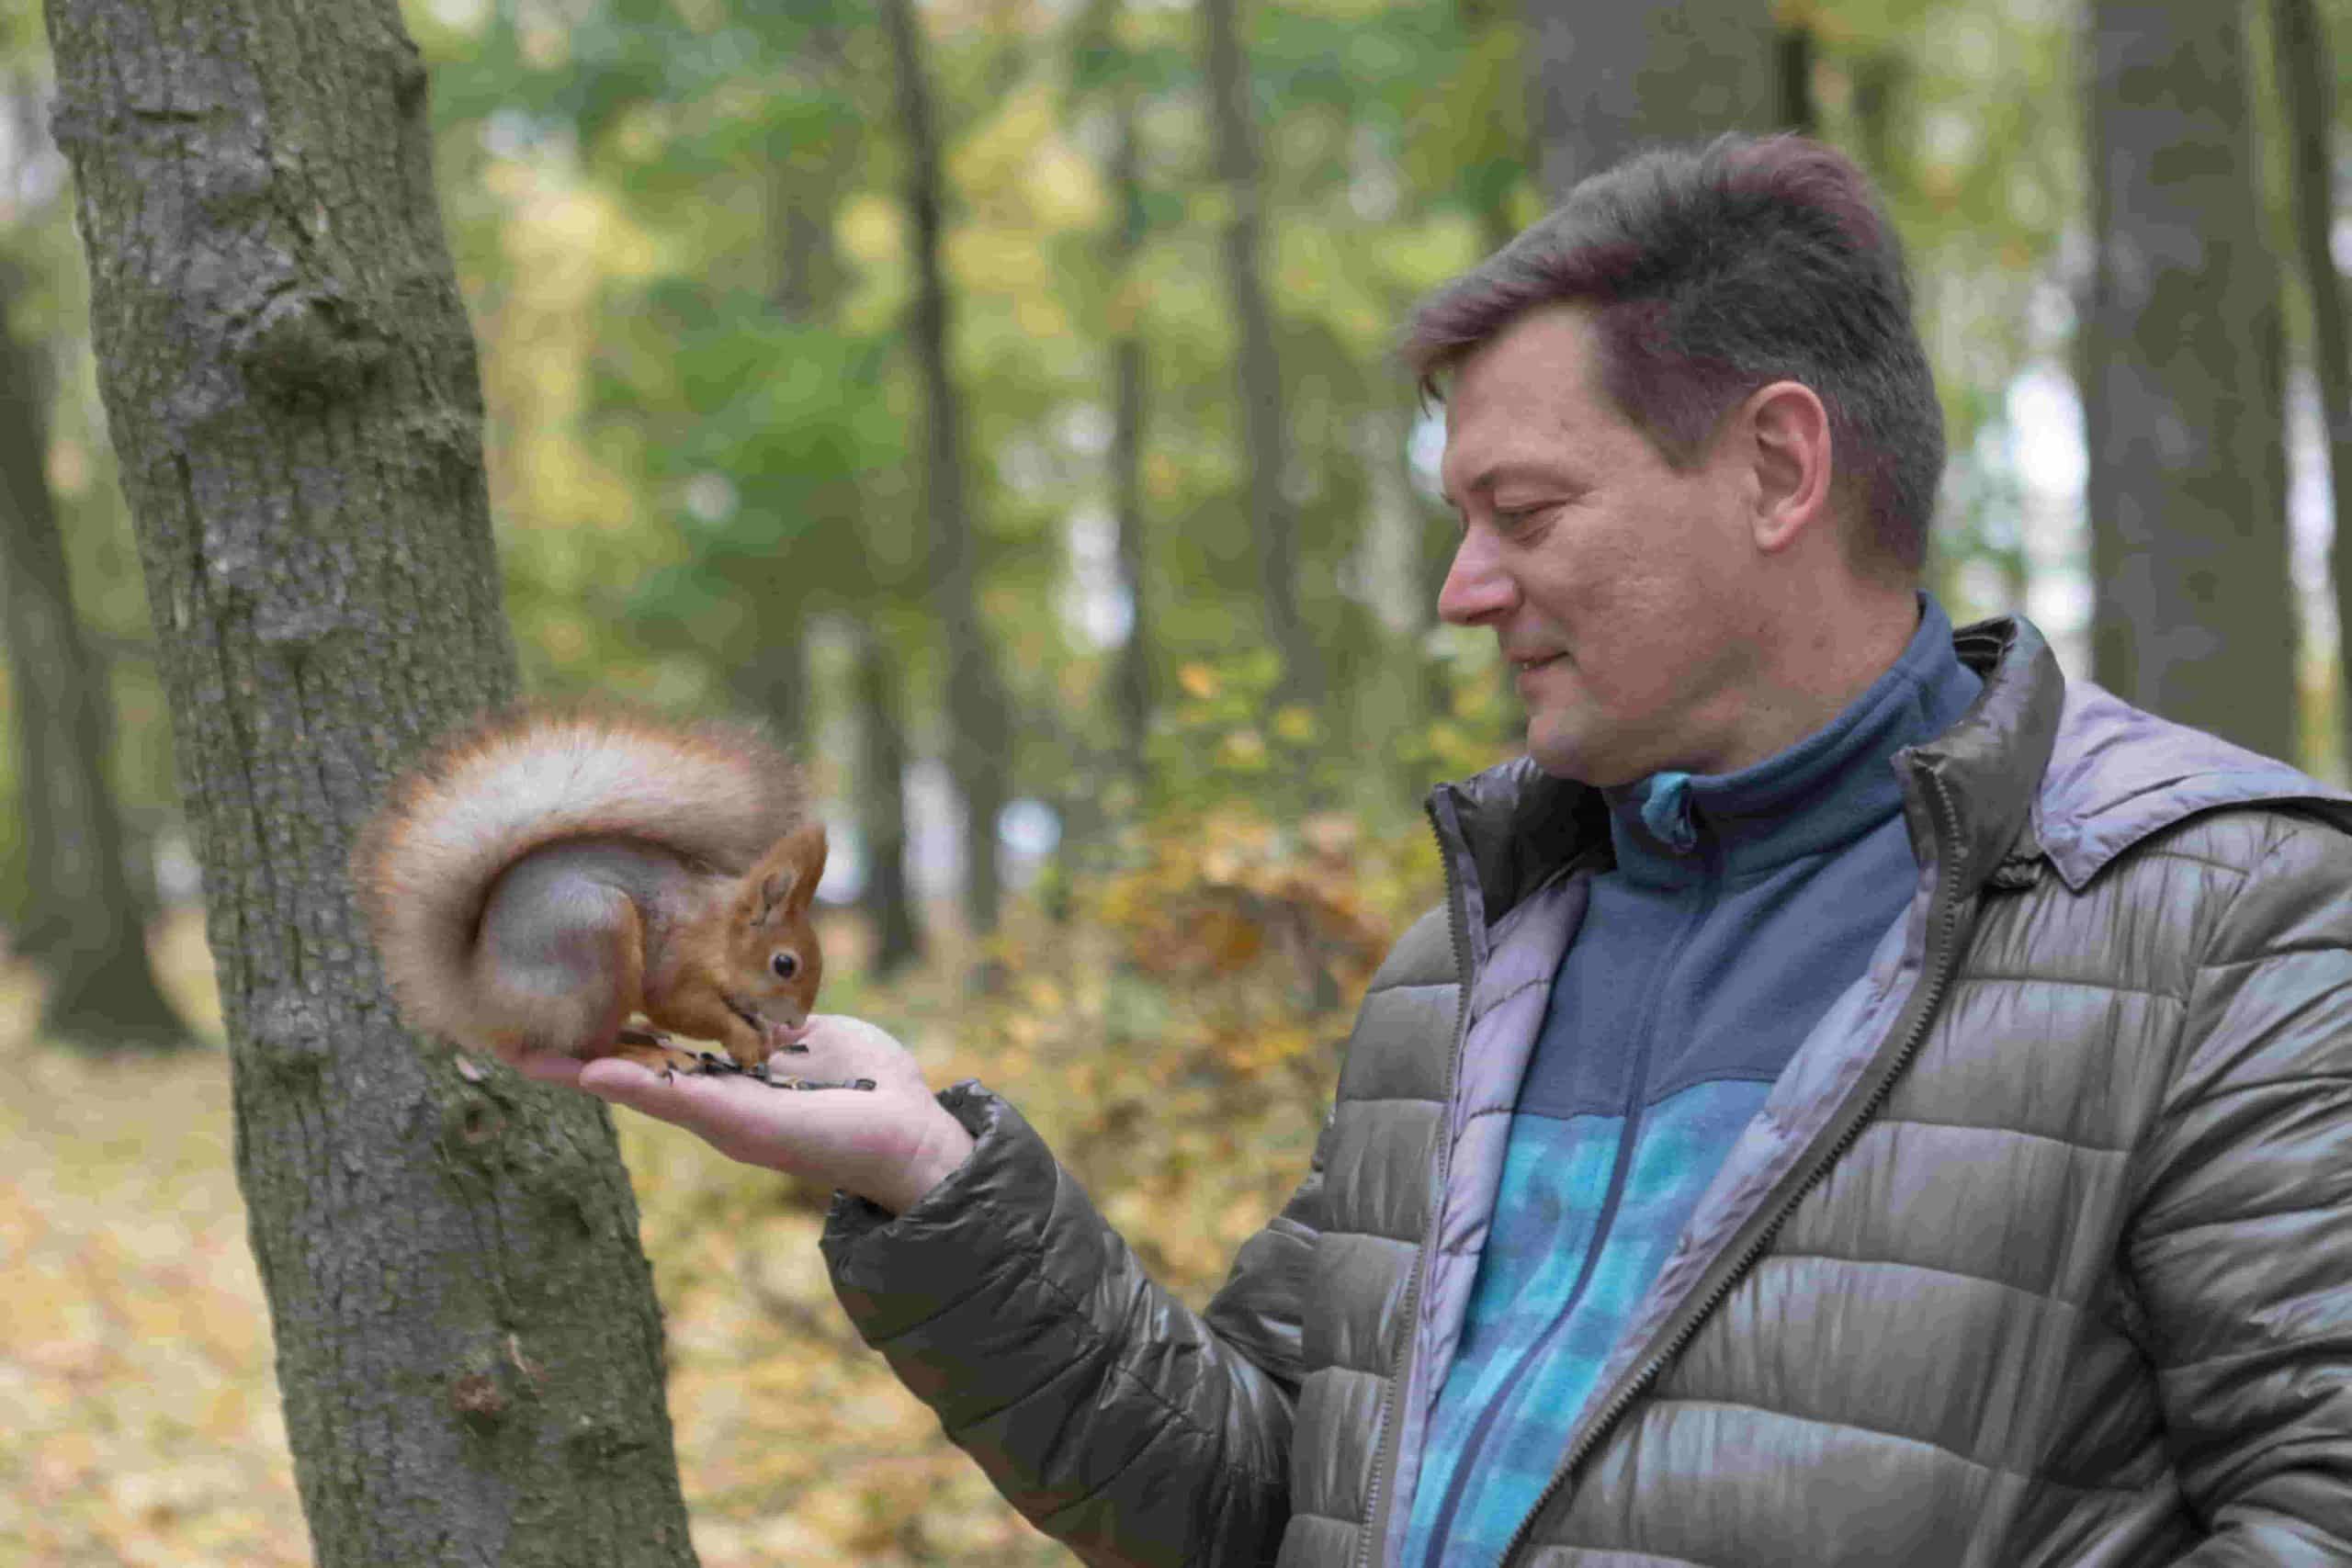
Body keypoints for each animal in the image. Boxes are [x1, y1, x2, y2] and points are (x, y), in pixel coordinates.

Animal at [352, 705, 826, 1079]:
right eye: (785, 964)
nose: (796, 1021)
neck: (716, 931)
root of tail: (481, 997)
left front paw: (762, 1036)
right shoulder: (676, 961)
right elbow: (679, 1006)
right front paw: (744, 1038)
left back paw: (640, 1034)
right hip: (598, 938)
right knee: (586, 1050)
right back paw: (646, 1055)